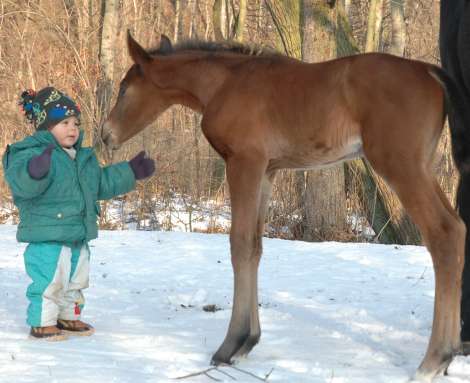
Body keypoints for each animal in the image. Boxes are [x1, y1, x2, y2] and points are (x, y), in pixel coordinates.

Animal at [103, 33, 470, 380]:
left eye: (123, 89)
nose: (106, 135)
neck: (225, 82)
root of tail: (429, 71)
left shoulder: (244, 162)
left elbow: (239, 244)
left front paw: (229, 344)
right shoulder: (268, 171)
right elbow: (254, 247)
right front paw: (248, 341)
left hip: (400, 165)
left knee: (444, 233)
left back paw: (433, 359)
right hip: (422, 167)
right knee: (458, 227)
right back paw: (449, 353)